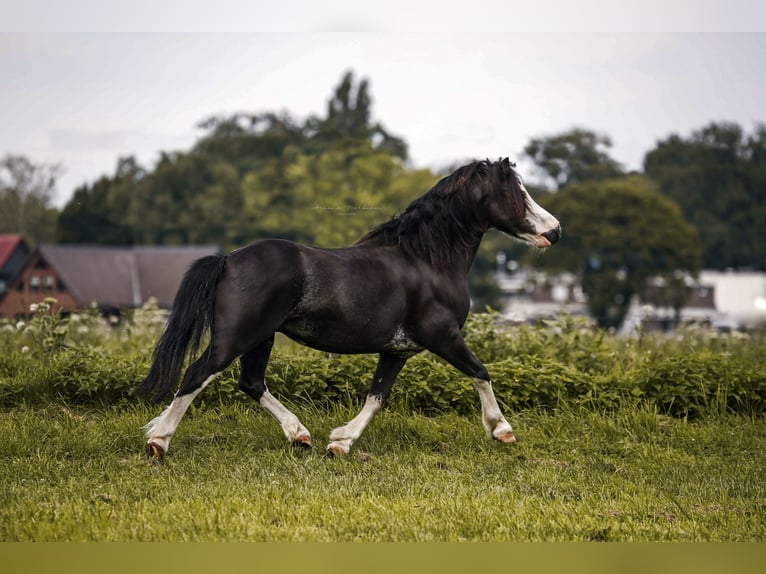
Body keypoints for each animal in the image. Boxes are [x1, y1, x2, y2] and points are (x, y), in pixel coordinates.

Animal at [135, 158, 560, 460]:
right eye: (518, 193)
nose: (555, 231)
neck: (425, 260)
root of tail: (229, 259)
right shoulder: (442, 335)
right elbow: (480, 372)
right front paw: (501, 429)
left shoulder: (397, 350)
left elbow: (377, 397)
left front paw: (340, 443)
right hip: (237, 336)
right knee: (198, 374)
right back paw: (158, 440)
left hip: (261, 337)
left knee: (251, 383)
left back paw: (300, 436)